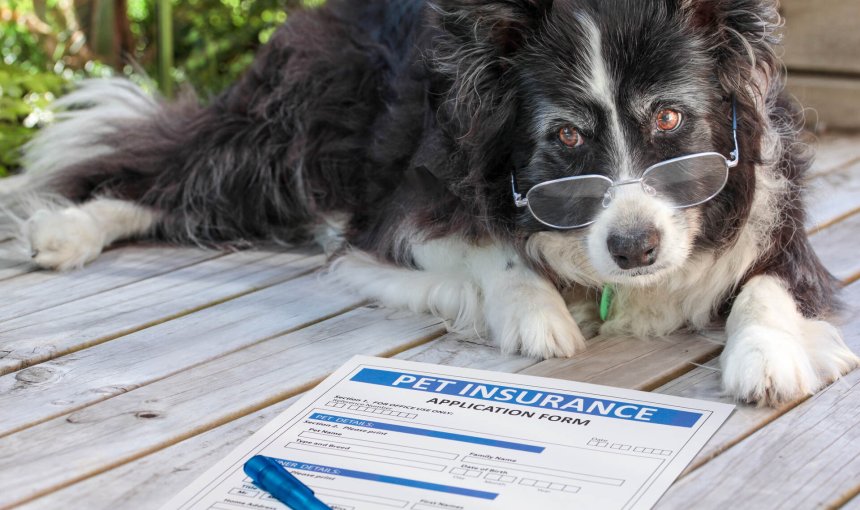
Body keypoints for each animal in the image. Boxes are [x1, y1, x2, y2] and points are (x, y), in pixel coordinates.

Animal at [3, 0, 856, 406]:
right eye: (566, 136)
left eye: (672, 120)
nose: (634, 248)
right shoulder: (403, 208)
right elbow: (492, 252)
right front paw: (537, 313)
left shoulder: (779, 226)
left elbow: (770, 288)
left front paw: (767, 357)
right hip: (292, 131)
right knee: (169, 170)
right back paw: (69, 231)